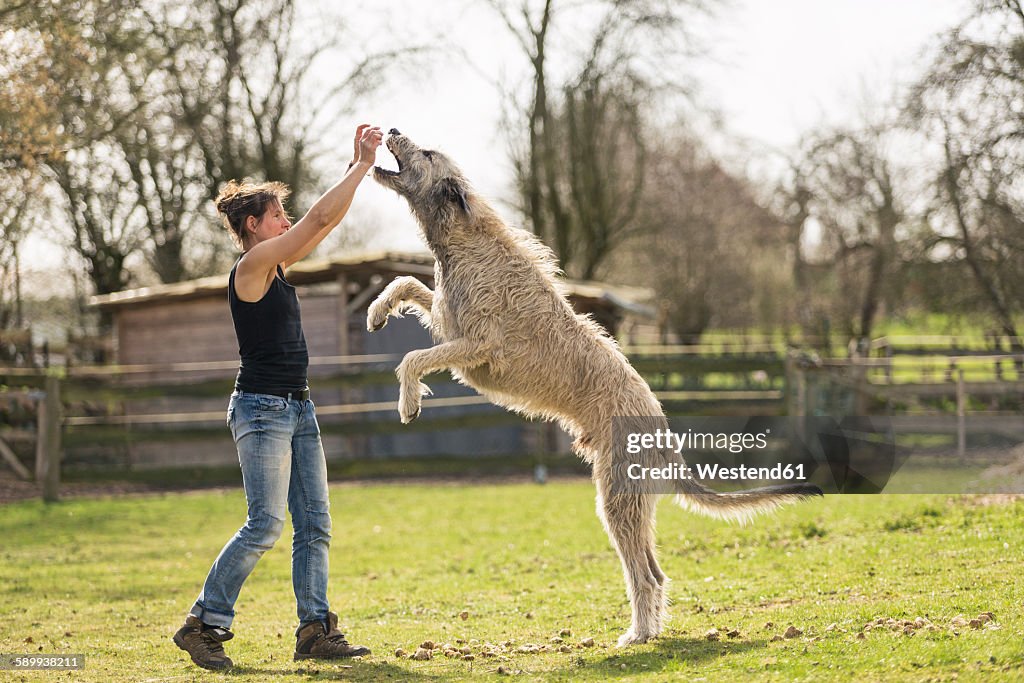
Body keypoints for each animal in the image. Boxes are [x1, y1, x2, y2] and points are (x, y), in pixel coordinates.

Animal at [368, 127, 823, 647]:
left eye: (425, 153)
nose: (392, 129)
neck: (463, 238)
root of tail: (664, 434)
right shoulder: (448, 321)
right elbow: (408, 283)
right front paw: (377, 311)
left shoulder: (477, 345)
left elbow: (413, 357)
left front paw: (407, 400)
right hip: (631, 501)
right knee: (656, 573)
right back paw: (648, 629)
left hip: (616, 498)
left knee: (644, 575)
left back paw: (638, 634)